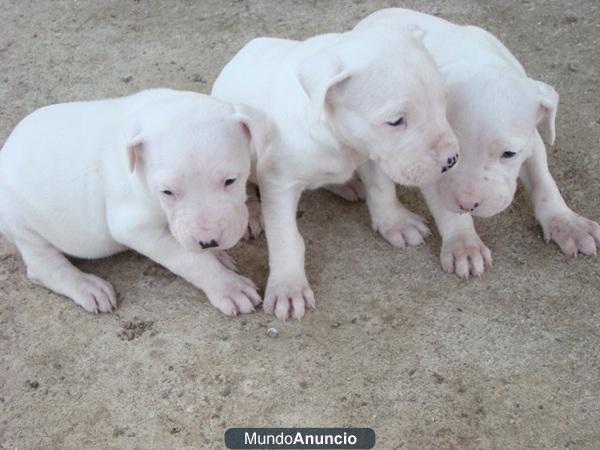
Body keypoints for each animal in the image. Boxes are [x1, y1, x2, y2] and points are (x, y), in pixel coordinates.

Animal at [0, 89, 262, 316]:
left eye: (230, 181)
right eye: (167, 192)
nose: (208, 241)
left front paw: (217, 255)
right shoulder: (135, 228)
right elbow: (189, 259)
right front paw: (228, 286)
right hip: (20, 223)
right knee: (43, 265)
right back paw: (86, 286)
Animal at [212, 25, 460, 320]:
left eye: (444, 100)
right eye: (395, 121)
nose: (452, 160)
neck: (337, 137)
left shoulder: (371, 151)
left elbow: (382, 190)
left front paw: (395, 223)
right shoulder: (278, 183)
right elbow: (285, 236)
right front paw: (288, 287)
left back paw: (347, 184)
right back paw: (251, 213)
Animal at [356, 9, 600, 278]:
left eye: (509, 154)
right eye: (453, 157)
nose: (468, 204)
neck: (472, 55)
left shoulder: (533, 142)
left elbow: (543, 182)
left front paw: (568, 224)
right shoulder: (427, 161)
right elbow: (447, 209)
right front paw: (464, 244)